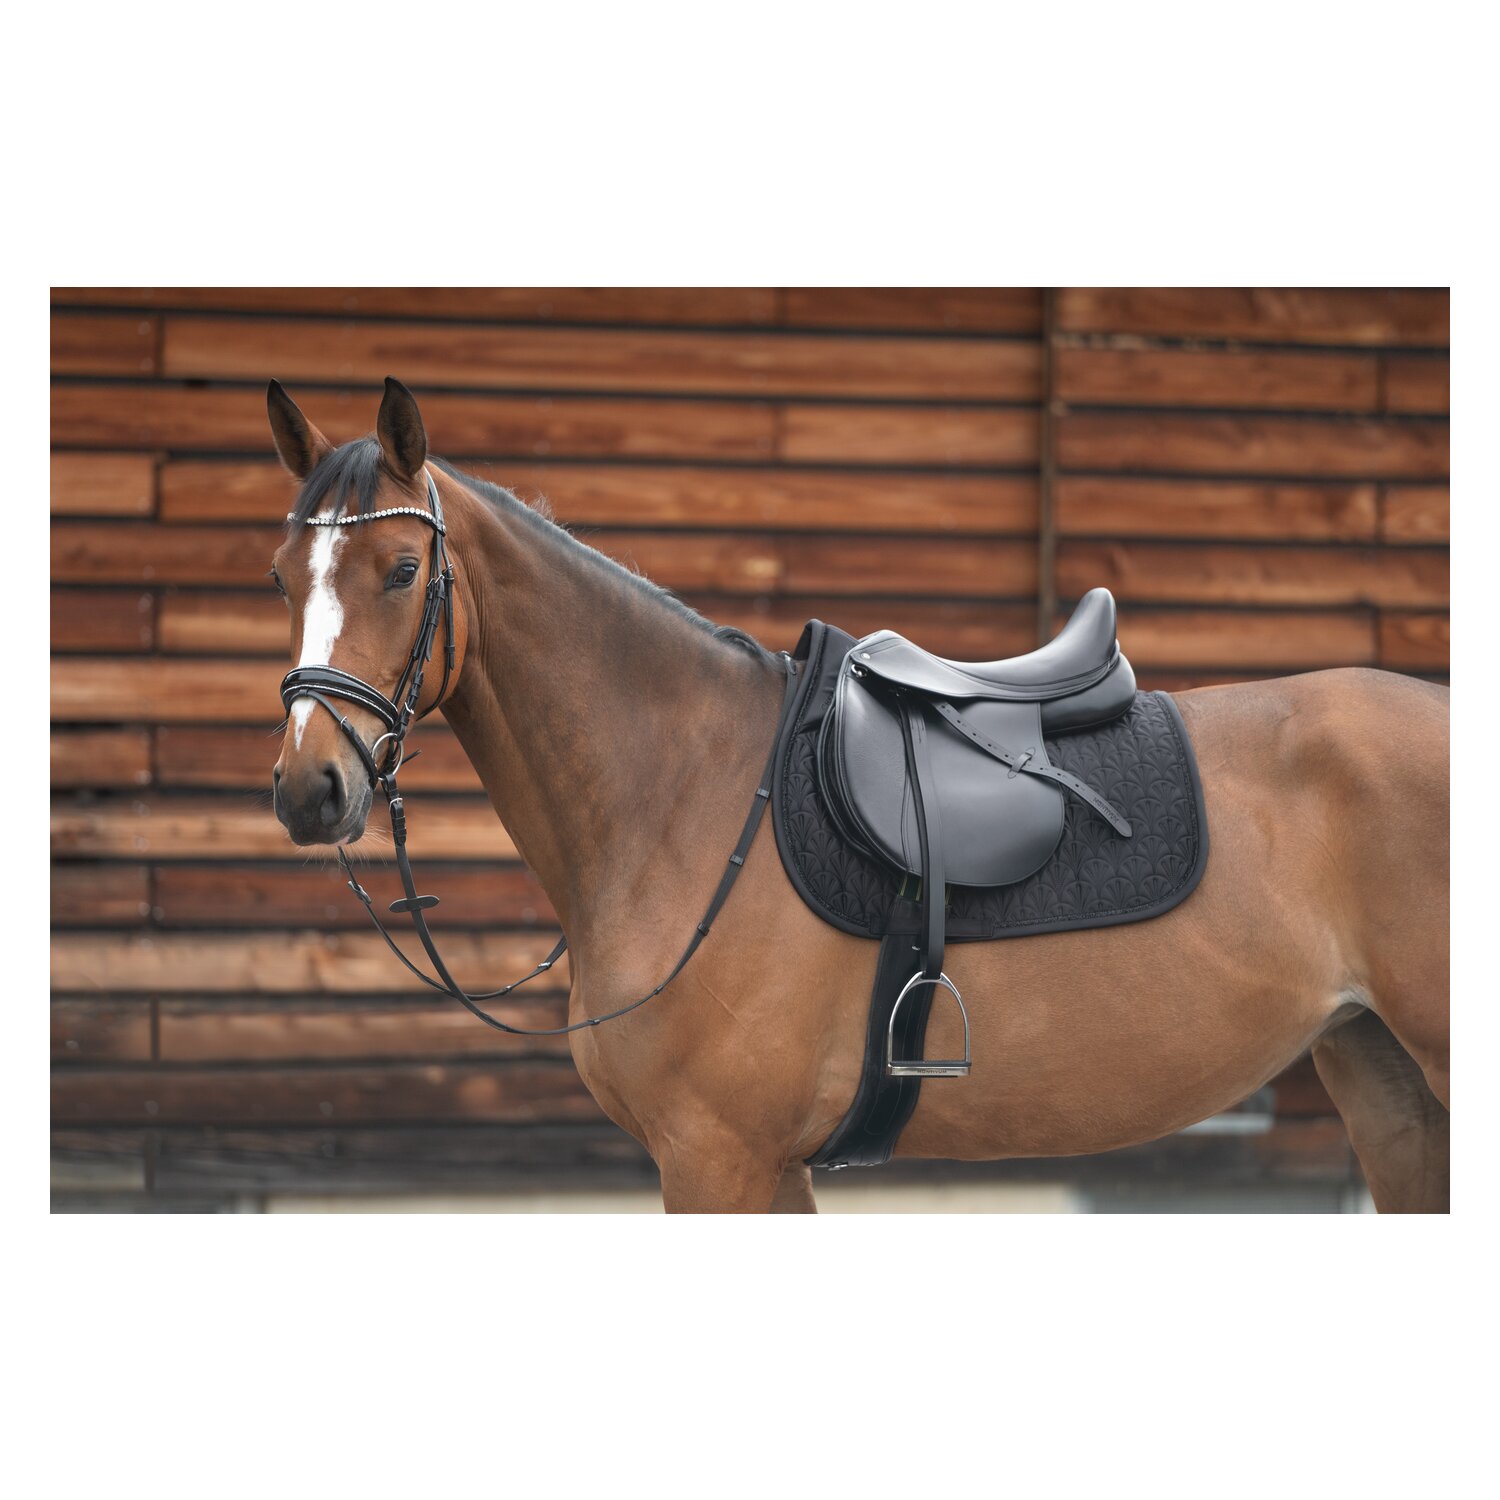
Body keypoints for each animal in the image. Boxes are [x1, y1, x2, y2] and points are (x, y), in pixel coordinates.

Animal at [266, 378, 1450, 1213]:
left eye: (402, 573)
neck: (683, 801)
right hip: (1389, 1086)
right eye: (282, 578)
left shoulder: (718, 1160)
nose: (307, 789)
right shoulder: (760, 1165)